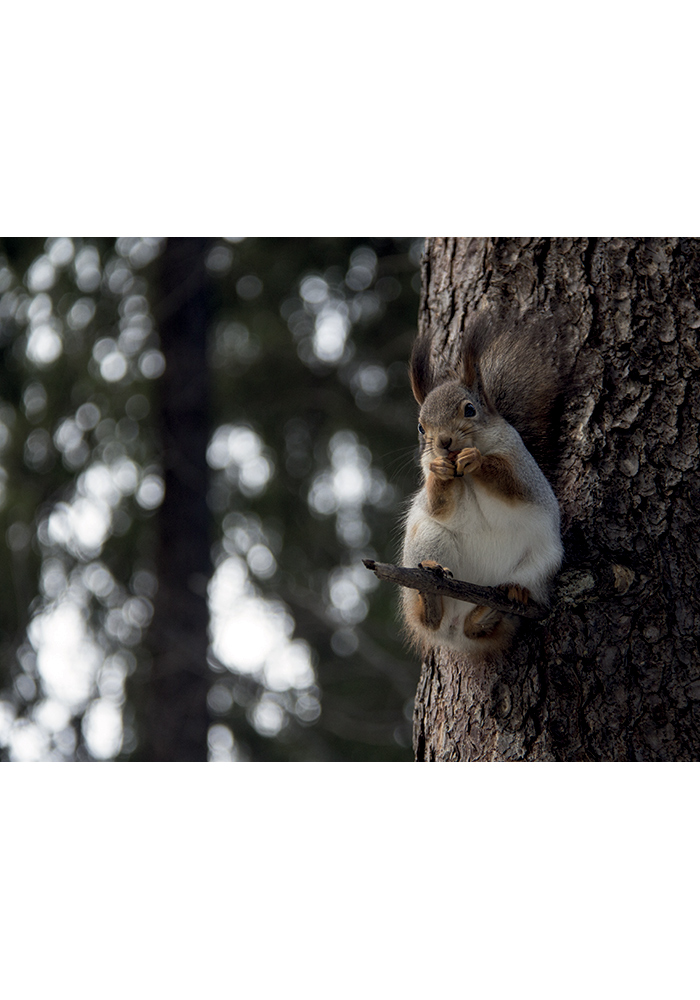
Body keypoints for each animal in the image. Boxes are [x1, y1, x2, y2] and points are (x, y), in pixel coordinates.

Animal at [400, 312, 564, 656]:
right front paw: (440, 470)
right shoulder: (431, 484)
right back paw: (432, 592)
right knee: (428, 617)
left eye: (470, 409)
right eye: (421, 427)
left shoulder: (521, 467)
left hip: (541, 562)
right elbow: (439, 505)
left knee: (483, 623)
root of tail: (453, 633)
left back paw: (499, 605)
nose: (444, 442)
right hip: (429, 539)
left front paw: (475, 459)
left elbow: (510, 483)